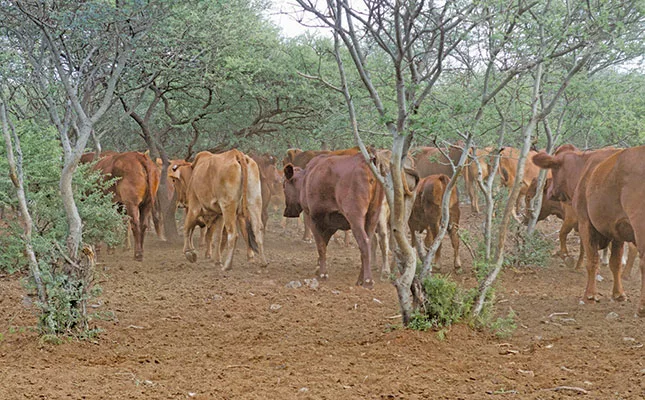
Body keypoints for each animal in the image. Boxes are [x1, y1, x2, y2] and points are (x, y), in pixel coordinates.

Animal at [283, 152, 384, 287]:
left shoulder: (313, 218)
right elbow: (324, 243)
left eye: (284, 185)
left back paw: (367, 280)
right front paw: (318, 268)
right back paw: (360, 279)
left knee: (364, 241)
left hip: (355, 216)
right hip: (373, 215)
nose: (286, 212)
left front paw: (323, 273)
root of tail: (366, 162)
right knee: (369, 240)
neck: (306, 179)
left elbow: (321, 245)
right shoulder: (331, 223)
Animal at [533, 146, 645, 316]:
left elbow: (592, 260)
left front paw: (590, 295)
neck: (585, 167)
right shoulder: (616, 232)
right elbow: (615, 263)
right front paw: (619, 294)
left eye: (554, 169)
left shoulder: (585, 223)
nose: (549, 190)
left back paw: (641, 308)